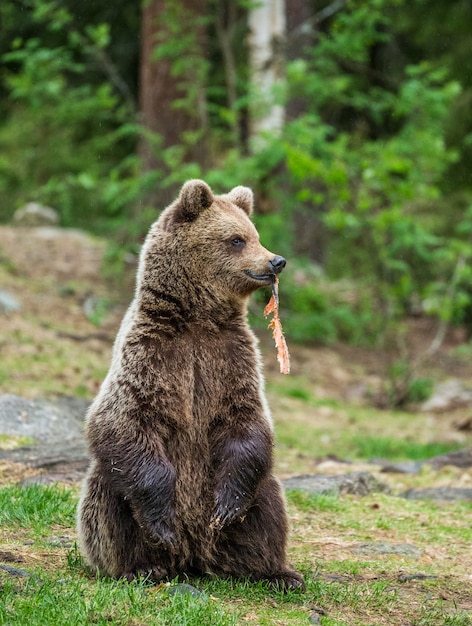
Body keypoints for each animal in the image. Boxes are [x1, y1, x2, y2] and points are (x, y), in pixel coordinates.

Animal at [76, 179, 306, 588]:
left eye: (255, 234)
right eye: (236, 239)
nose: (276, 261)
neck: (197, 318)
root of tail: (193, 559)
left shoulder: (232, 358)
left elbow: (247, 421)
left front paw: (226, 508)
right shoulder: (151, 355)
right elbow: (122, 422)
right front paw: (163, 524)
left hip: (252, 505)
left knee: (269, 504)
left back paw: (274, 572)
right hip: (110, 494)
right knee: (107, 499)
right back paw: (143, 567)